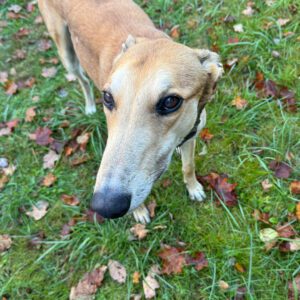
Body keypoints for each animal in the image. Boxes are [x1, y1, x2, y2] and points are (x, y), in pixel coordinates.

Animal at [38, 0, 223, 223]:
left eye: (170, 101)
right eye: (107, 97)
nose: (106, 205)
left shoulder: (192, 133)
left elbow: (188, 166)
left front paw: (193, 187)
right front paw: (140, 211)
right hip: (67, 54)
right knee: (82, 79)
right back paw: (89, 106)